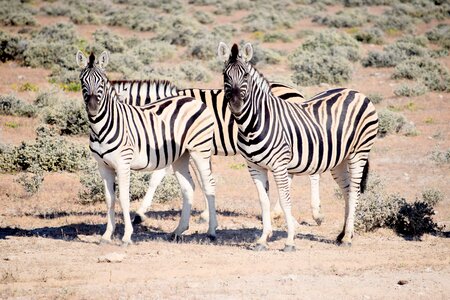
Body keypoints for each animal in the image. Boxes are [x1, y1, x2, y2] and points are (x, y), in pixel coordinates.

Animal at [76, 50, 218, 245]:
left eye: (102, 81)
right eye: (82, 81)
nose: (92, 108)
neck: (102, 127)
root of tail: (193, 100)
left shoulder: (123, 163)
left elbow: (124, 198)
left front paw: (127, 236)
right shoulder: (103, 166)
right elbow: (109, 199)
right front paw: (106, 235)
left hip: (199, 150)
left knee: (209, 185)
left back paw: (211, 232)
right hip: (181, 156)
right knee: (188, 188)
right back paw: (178, 231)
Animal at [111, 79, 324, 225]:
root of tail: (296, 92)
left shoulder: (189, 146)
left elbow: (170, 178)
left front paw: (140, 214)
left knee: (311, 173)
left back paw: (315, 214)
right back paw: (278, 212)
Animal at [217, 42, 376, 252]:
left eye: (245, 76)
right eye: (225, 75)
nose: (236, 104)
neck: (252, 124)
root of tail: (355, 91)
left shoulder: (279, 165)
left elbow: (285, 201)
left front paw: (290, 241)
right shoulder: (254, 167)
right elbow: (263, 202)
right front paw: (262, 240)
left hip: (359, 152)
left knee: (354, 191)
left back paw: (348, 238)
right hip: (338, 159)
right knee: (347, 190)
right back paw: (342, 235)